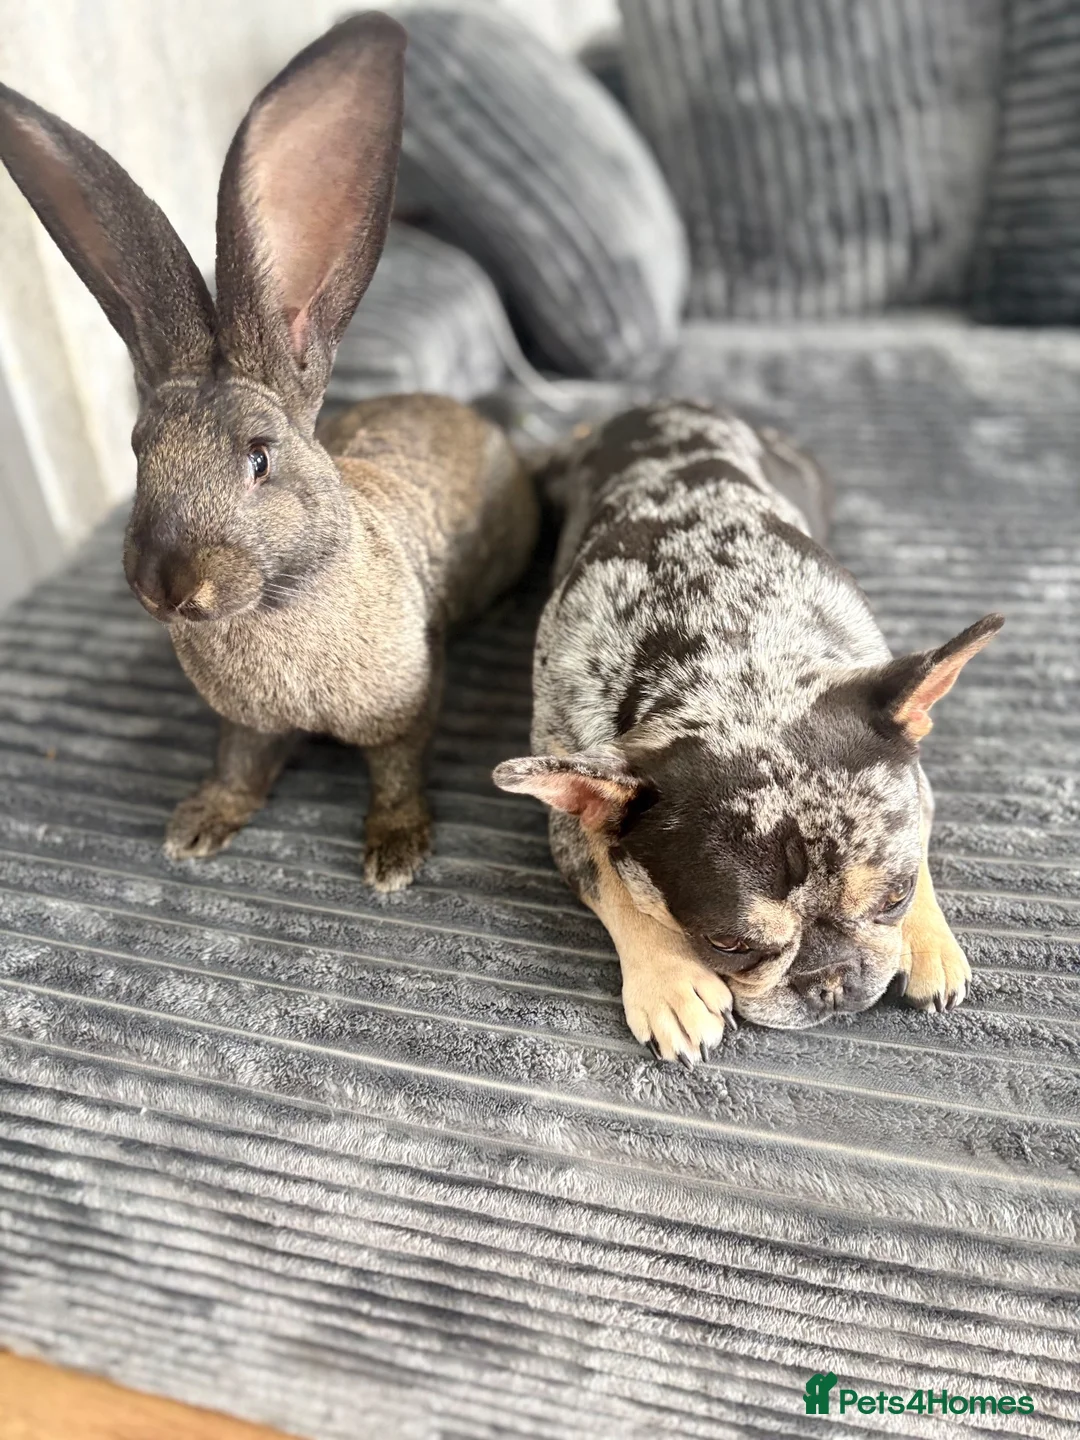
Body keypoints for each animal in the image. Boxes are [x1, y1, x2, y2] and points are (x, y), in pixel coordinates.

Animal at [0, 13, 539, 892]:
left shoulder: (404, 708)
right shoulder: (246, 728)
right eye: (139, 450)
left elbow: (396, 770)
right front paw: (197, 826)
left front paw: (395, 855)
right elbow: (241, 765)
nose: (166, 586)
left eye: (258, 458)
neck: (276, 601)